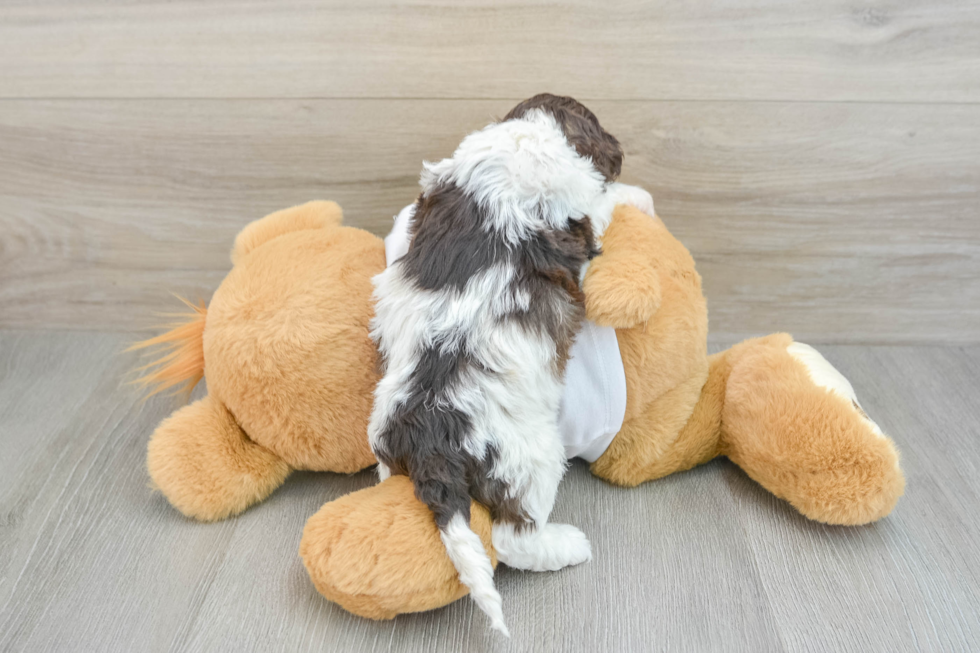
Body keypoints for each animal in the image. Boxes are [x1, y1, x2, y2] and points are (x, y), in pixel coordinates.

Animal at [368, 94, 644, 636]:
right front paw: (636, 193)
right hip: (530, 457)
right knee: (513, 538)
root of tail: (429, 432)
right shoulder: (580, 210)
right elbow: (606, 201)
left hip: (390, 444)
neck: (523, 136)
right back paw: (568, 545)